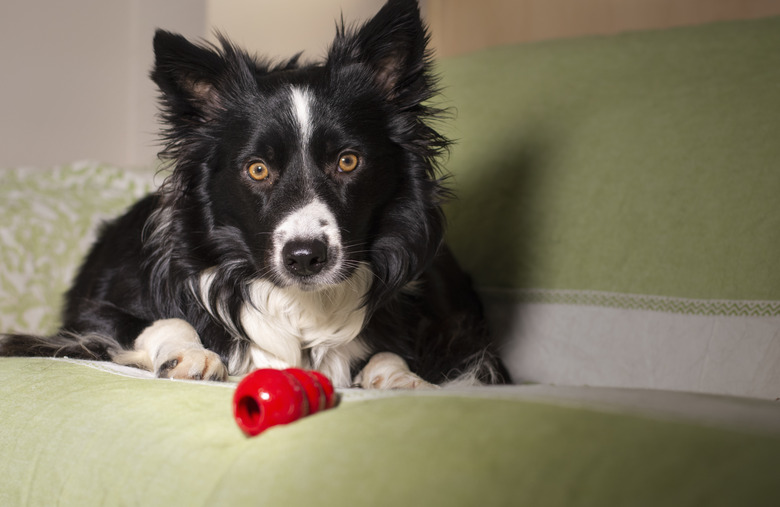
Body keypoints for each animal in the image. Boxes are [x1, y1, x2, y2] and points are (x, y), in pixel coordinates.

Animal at [0, 0, 508, 388]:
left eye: (348, 161)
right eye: (257, 169)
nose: (305, 258)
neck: (295, 303)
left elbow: (390, 353)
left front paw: (405, 379)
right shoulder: (90, 319)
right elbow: (163, 320)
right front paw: (191, 355)